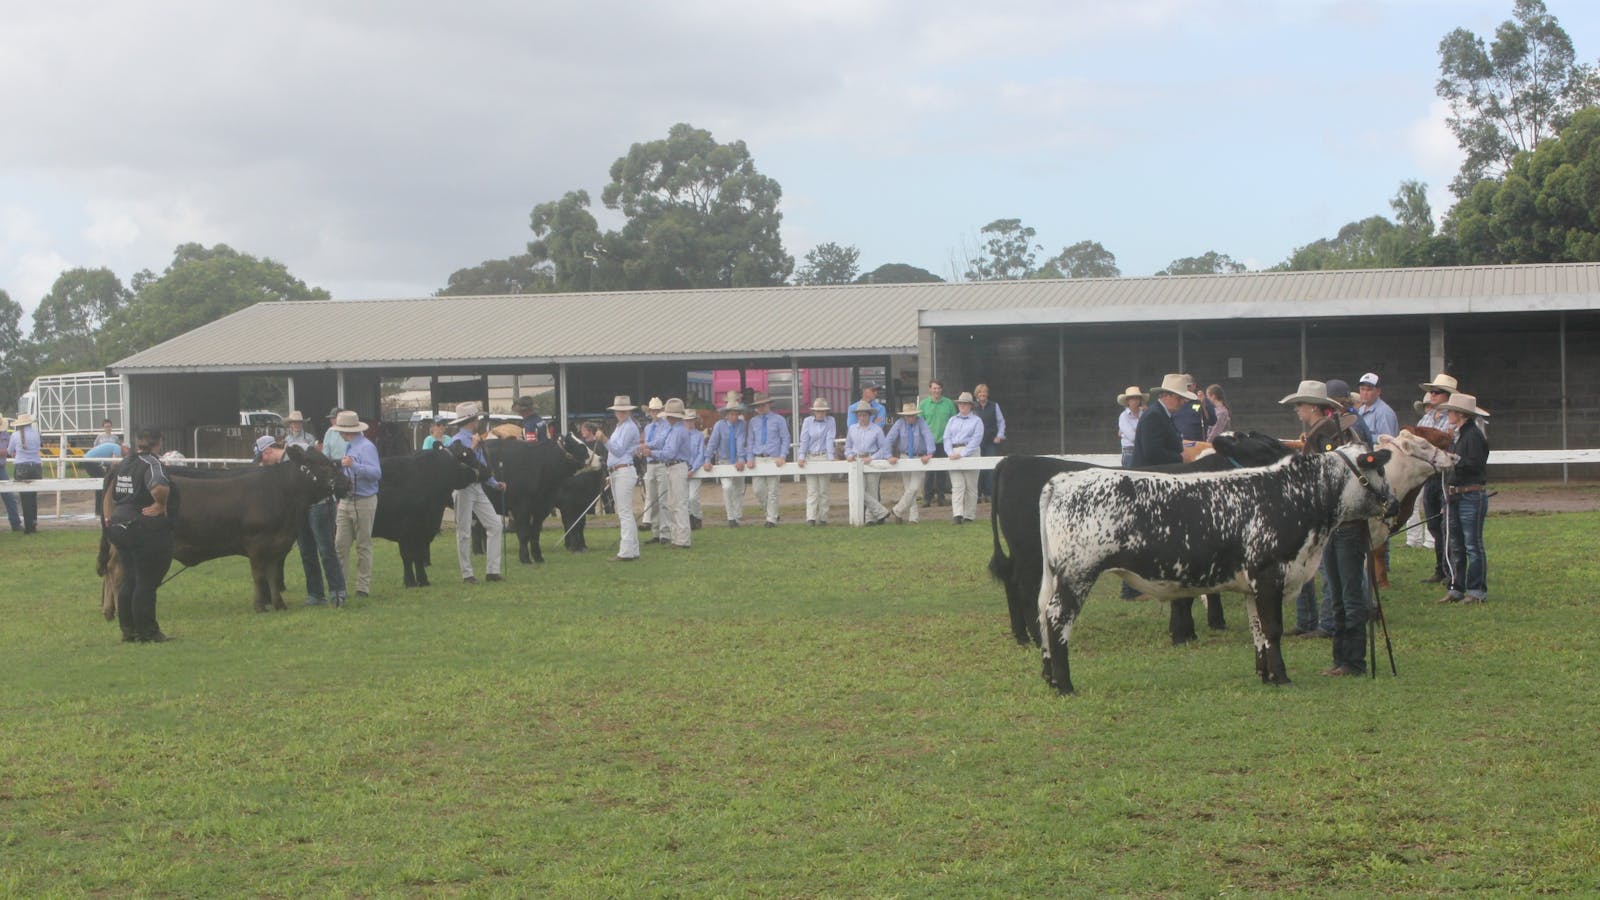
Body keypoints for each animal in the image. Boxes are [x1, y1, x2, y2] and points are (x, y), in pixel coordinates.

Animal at [371, 441, 483, 586]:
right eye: (469, 455)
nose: (487, 471)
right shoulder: (411, 530)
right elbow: (411, 556)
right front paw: (415, 581)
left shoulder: (418, 531)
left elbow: (414, 557)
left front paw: (417, 581)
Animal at [486, 432, 601, 560]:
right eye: (581, 447)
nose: (600, 459)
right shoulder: (522, 507)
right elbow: (525, 533)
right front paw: (525, 558)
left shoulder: (544, 507)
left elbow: (536, 533)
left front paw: (538, 557)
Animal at [1030, 445, 1395, 688]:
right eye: (1379, 470)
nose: (1392, 502)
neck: (1294, 497)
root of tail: (1065, 479)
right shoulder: (1269, 573)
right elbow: (1273, 628)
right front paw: (1282, 677)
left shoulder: (1253, 586)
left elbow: (1258, 629)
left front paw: (1265, 674)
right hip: (1077, 574)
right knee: (1057, 617)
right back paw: (1064, 684)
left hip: (1056, 576)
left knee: (1042, 613)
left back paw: (1049, 677)